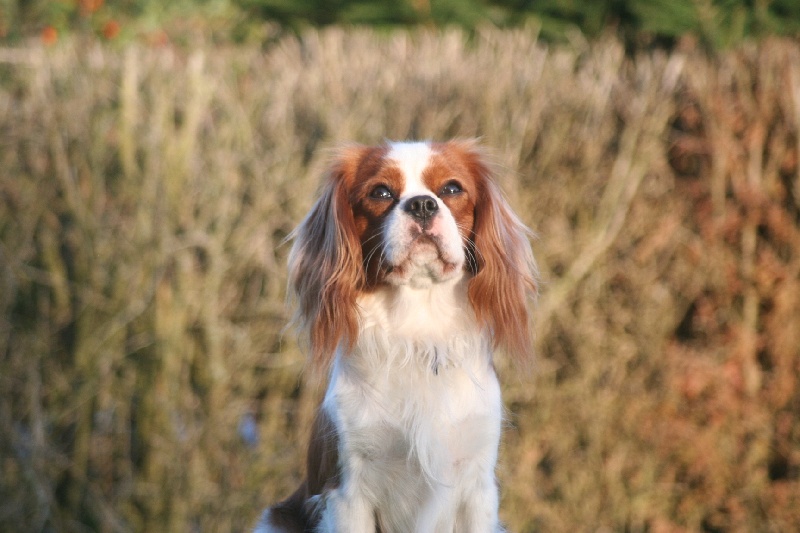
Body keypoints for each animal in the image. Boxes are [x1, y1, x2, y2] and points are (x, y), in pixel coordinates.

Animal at [256, 139, 540, 528]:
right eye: (380, 192)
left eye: (452, 189)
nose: (422, 204)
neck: (418, 329)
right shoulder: (347, 493)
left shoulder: (477, 488)